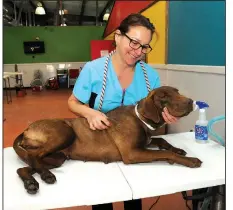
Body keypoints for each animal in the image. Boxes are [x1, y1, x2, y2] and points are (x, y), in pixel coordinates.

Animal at [12, 85, 202, 194]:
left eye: (177, 92)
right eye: (163, 96)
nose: (191, 101)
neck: (140, 119)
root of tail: (26, 129)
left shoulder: (146, 142)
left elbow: (162, 141)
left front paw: (177, 149)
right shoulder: (132, 153)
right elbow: (167, 155)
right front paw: (190, 160)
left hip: (58, 157)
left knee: (26, 166)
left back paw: (31, 182)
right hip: (65, 133)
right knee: (34, 157)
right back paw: (45, 175)